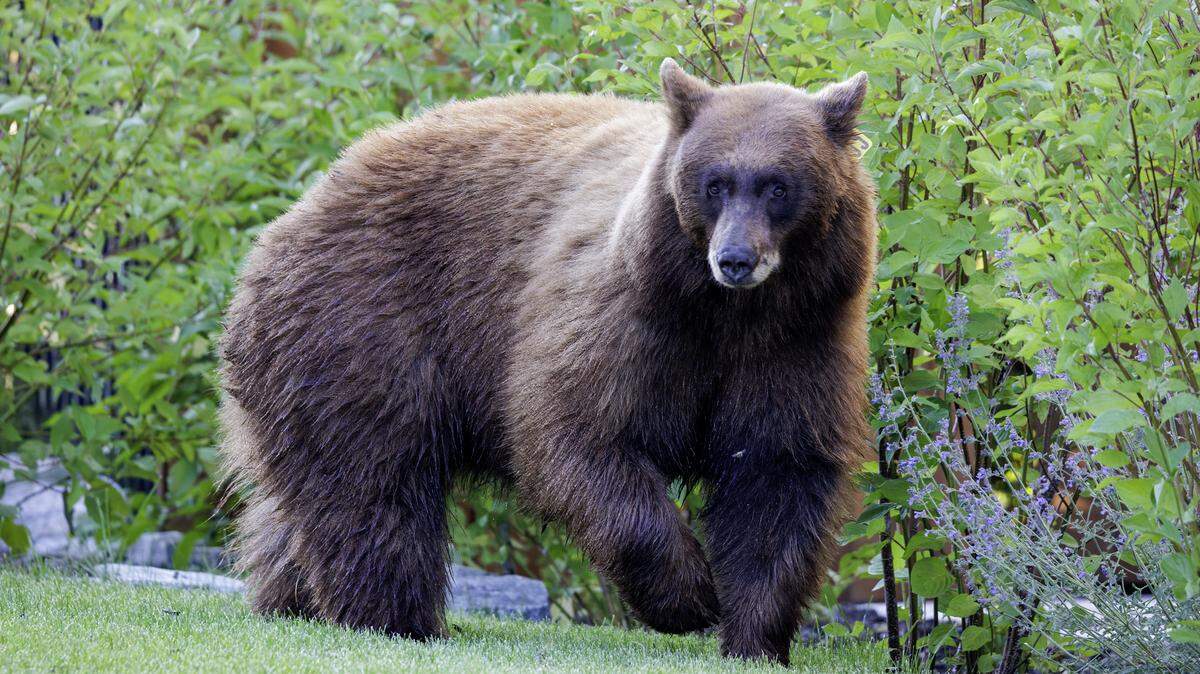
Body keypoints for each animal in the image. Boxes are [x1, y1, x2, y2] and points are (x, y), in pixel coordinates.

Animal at [218, 59, 875, 665]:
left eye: (778, 185)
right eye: (714, 183)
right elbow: (579, 433)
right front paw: (690, 598)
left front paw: (754, 636)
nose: (735, 258)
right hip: (366, 320)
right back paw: (396, 617)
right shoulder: (627, 319)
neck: (727, 316)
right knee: (374, 481)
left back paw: (289, 594)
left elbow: (778, 472)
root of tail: (298, 208)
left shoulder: (798, 345)